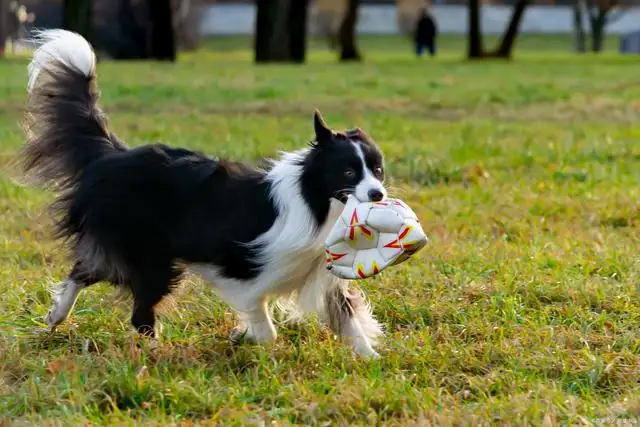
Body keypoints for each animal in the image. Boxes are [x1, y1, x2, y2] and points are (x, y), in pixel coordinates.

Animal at [20, 29, 388, 358]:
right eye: (349, 172)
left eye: (378, 170)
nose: (378, 195)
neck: (315, 202)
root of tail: (112, 155)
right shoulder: (240, 268)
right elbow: (264, 323)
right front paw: (253, 343)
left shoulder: (320, 276)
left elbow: (349, 321)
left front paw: (373, 360)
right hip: (151, 255)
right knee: (138, 311)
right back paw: (156, 351)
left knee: (84, 270)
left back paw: (56, 315)